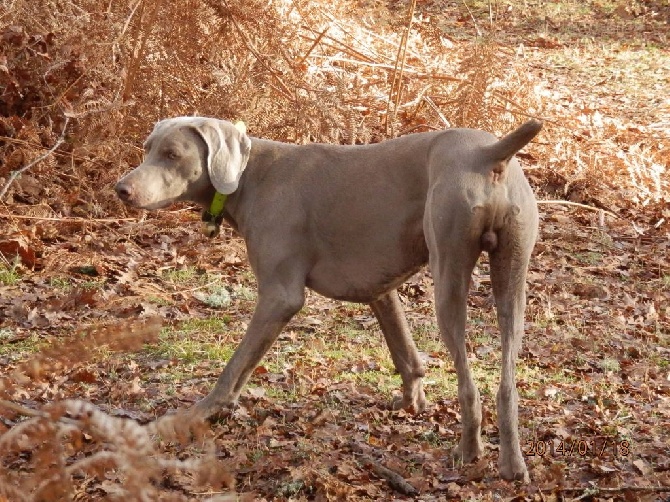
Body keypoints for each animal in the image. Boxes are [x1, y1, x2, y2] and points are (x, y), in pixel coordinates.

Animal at [117, 117, 544, 482]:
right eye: (148, 148)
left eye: (172, 154)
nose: (122, 189)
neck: (249, 178)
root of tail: (489, 153)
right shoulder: (380, 289)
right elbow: (405, 353)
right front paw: (412, 403)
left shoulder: (280, 296)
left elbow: (236, 364)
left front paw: (200, 412)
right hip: (513, 275)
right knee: (507, 381)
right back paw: (512, 465)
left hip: (449, 268)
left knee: (469, 382)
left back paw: (468, 452)